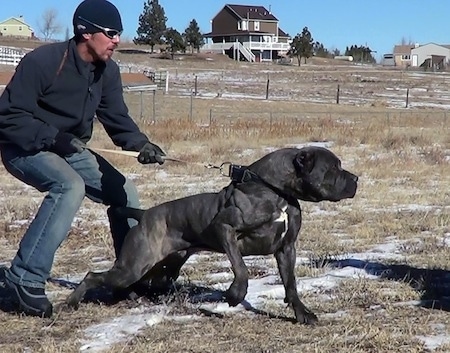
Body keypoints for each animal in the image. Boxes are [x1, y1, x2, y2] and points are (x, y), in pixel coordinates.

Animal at [67, 144, 358, 324]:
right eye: (334, 167)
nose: (356, 179)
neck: (276, 191)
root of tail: (145, 214)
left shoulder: (287, 248)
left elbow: (291, 283)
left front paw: (302, 313)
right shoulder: (225, 229)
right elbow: (241, 267)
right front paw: (234, 295)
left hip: (161, 267)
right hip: (134, 264)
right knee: (93, 276)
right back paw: (70, 303)